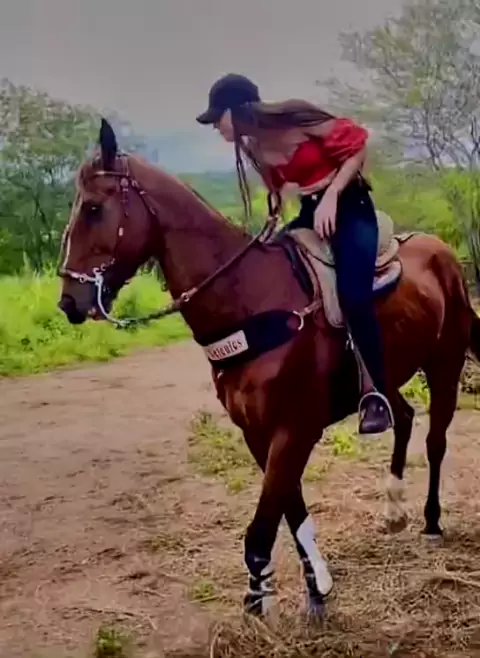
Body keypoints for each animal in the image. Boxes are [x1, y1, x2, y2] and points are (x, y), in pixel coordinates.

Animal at [57, 118, 480, 620]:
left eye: (94, 208)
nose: (69, 302)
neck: (249, 300)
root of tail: (443, 255)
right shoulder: (259, 434)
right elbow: (291, 511)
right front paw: (317, 587)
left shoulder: (294, 431)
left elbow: (261, 528)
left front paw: (259, 600)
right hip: (384, 376)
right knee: (403, 416)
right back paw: (394, 510)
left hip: (445, 364)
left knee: (436, 441)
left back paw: (432, 521)